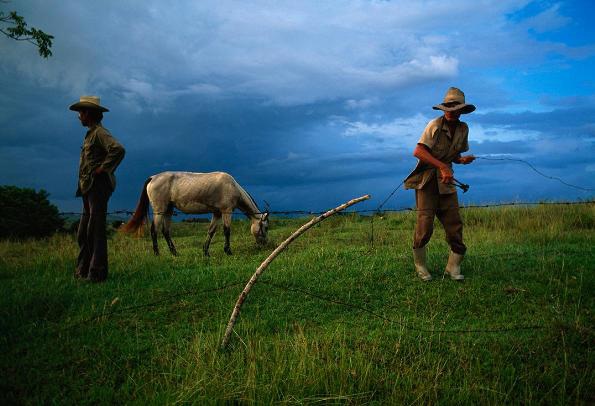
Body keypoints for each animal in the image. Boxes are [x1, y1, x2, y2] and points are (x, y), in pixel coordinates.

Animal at [122, 172, 272, 256]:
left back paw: (175, 253)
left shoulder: (217, 213)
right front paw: (228, 251)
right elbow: (227, 231)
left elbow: (211, 231)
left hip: (169, 210)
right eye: (265, 227)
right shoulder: (226, 211)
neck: (232, 186)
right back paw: (157, 253)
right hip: (160, 211)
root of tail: (153, 177)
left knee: (166, 231)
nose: (265, 244)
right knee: (154, 230)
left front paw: (205, 252)